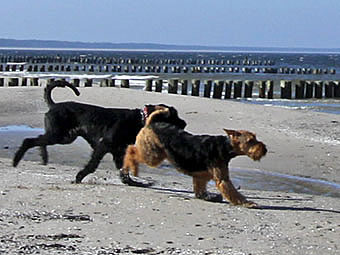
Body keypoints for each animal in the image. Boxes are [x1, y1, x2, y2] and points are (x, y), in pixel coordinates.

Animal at [13, 80, 187, 184]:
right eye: (173, 115)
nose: (184, 123)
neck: (140, 119)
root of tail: (54, 105)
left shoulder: (119, 151)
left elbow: (123, 169)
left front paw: (129, 182)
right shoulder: (104, 146)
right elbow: (93, 165)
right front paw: (79, 177)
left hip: (64, 137)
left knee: (39, 140)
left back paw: (43, 157)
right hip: (59, 135)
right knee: (29, 140)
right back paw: (16, 160)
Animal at [122, 108, 268, 208]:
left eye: (255, 137)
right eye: (250, 141)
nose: (265, 149)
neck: (225, 147)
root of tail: (152, 123)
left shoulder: (201, 177)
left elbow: (200, 190)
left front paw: (207, 196)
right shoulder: (222, 179)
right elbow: (234, 193)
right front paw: (248, 203)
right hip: (153, 156)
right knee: (131, 150)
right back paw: (131, 168)